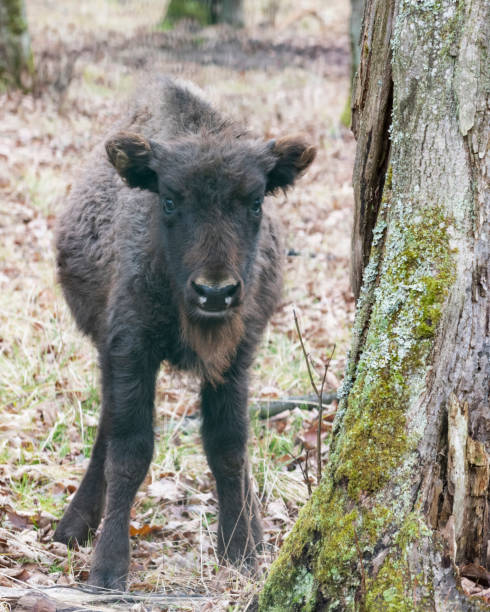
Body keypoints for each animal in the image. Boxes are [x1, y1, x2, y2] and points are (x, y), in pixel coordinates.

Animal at [52, 76, 314, 588]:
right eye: (169, 200)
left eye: (256, 202)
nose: (215, 292)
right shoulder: (130, 351)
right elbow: (130, 450)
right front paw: (108, 569)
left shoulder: (235, 359)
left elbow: (228, 446)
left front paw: (241, 551)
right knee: (107, 429)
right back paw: (73, 526)